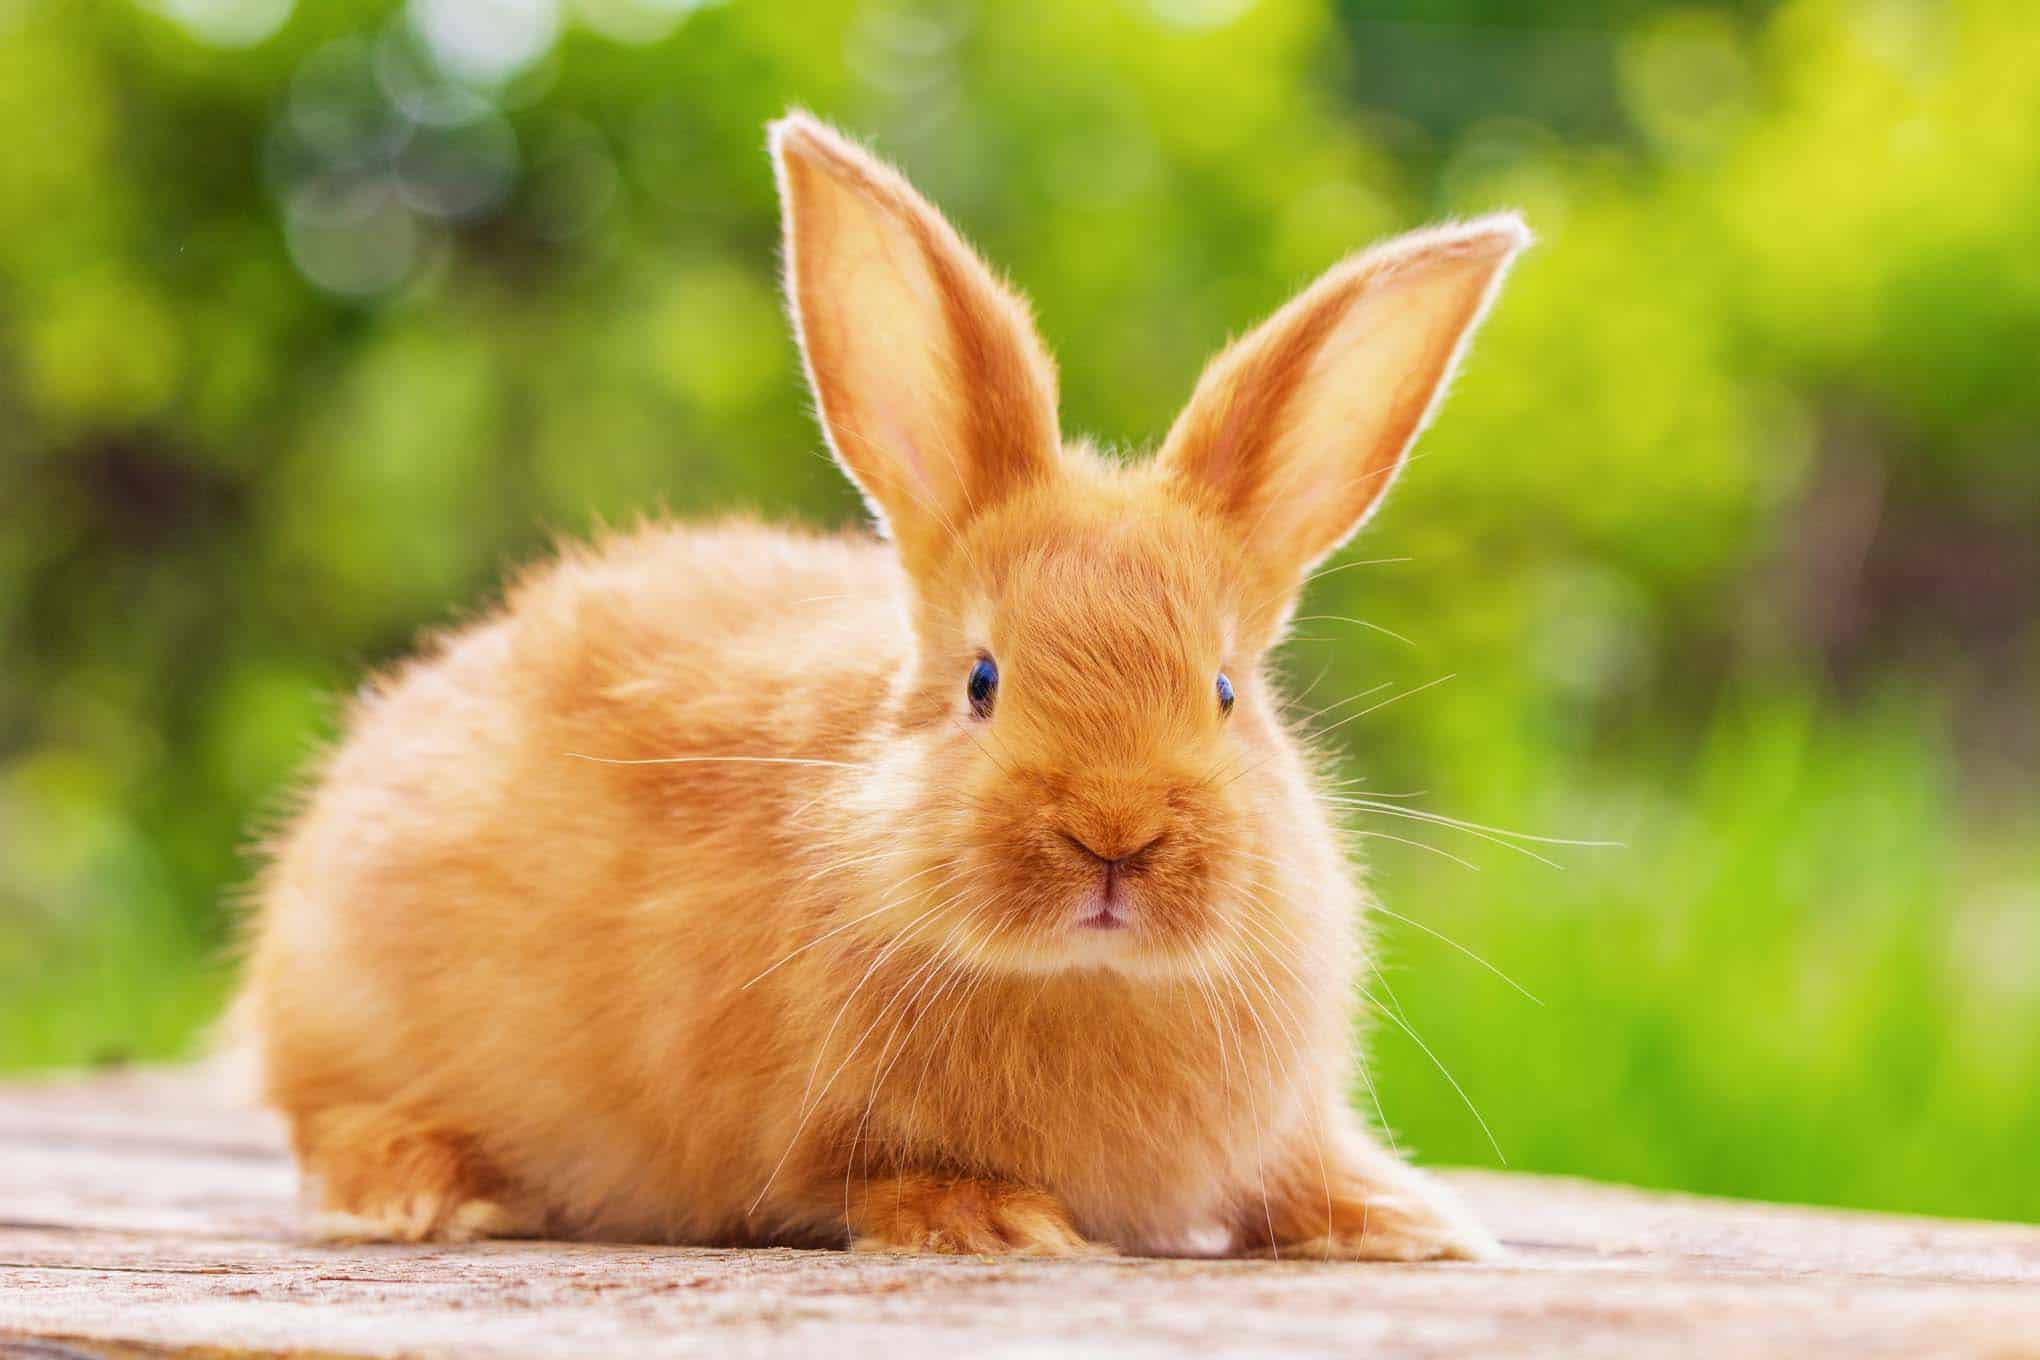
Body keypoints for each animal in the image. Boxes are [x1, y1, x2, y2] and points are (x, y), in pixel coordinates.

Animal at [231, 111, 1525, 1264]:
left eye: (1224, 692)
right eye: (981, 681)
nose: (1114, 832)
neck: (1084, 979)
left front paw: (1403, 1222)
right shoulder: (805, 1140)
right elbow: (871, 1177)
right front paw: (996, 1224)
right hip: (345, 1010)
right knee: (335, 1121)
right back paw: (424, 1193)